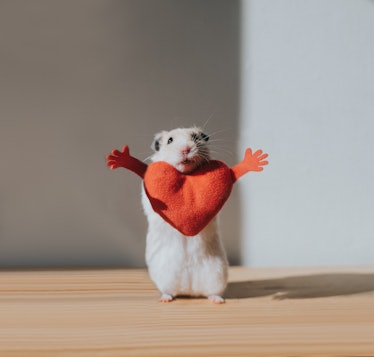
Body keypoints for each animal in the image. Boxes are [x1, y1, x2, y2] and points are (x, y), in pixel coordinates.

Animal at [140, 126, 228, 302]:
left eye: (195, 137)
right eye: (170, 140)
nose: (186, 149)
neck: (186, 174)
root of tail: (190, 290)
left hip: (218, 274)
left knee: (214, 292)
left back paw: (217, 301)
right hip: (164, 276)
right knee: (169, 291)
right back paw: (164, 299)